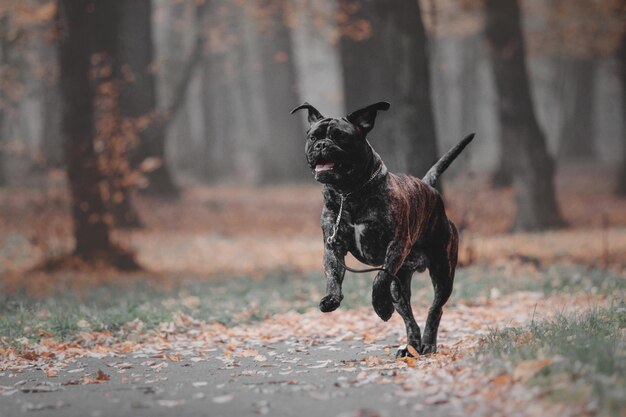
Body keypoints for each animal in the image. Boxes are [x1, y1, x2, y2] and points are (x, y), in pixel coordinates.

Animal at [292, 101, 472, 358]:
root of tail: (428, 186)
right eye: (313, 136)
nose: (322, 145)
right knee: (409, 317)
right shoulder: (332, 246)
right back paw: (411, 346)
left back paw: (427, 343)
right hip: (400, 288)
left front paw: (380, 306)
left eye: (340, 136)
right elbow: (333, 275)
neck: (348, 193)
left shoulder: (396, 245)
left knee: (435, 308)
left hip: (442, 272)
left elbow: (380, 277)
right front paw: (332, 299)